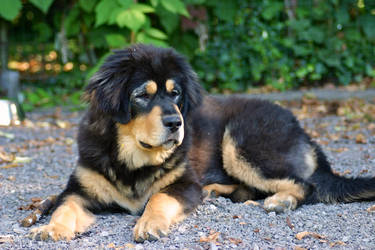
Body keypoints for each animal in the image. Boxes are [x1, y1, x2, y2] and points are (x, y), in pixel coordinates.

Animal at [29, 44, 375, 242]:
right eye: (142, 95)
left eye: (175, 93)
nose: (175, 123)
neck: (132, 159)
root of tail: (302, 129)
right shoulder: (80, 190)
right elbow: (64, 206)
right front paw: (50, 228)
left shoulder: (184, 184)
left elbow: (159, 198)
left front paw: (149, 224)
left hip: (240, 141)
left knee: (306, 184)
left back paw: (281, 200)